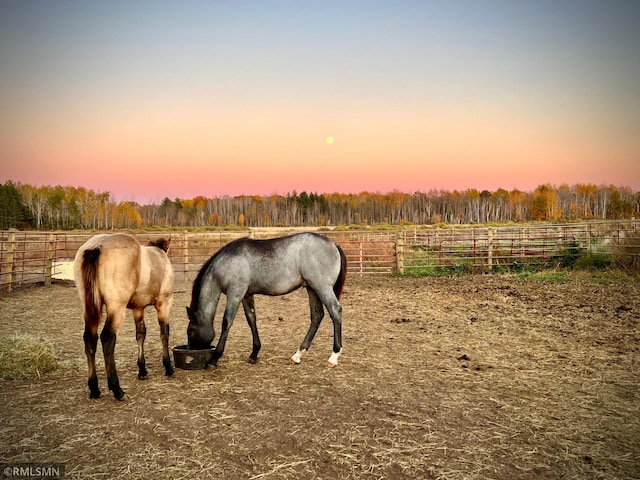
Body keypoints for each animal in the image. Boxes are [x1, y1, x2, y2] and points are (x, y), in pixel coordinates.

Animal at [74, 234, 175, 400]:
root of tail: (97, 246)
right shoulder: (164, 303)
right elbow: (164, 333)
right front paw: (168, 367)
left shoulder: (138, 309)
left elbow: (140, 334)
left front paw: (142, 370)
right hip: (116, 308)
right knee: (107, 338)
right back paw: (117, 389)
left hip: (88, 310)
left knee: (90, 339)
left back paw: (94, 388)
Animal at [188, 232, 348, 368]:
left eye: (191, 330)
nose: (190, 351)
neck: (225, 263)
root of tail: (333, 244)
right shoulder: (246, 295)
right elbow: (251, 319)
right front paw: (254, 353)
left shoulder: (235, 294)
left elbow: (227, 322)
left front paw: (214, 358)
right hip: (312, 289)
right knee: (317, 316)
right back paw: (297, 355)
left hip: (323, 288)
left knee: (335, 312)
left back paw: (333, 357)